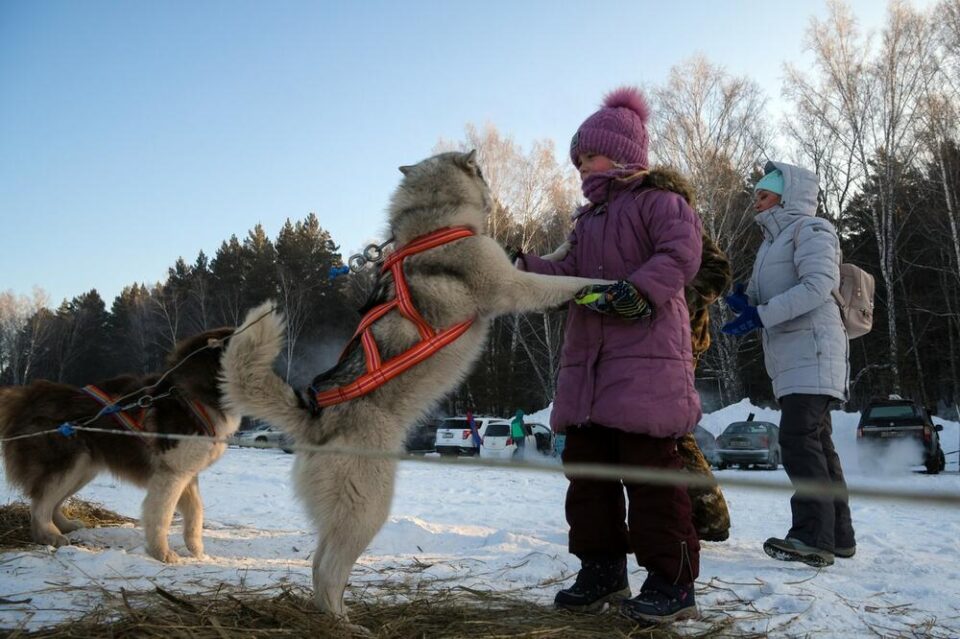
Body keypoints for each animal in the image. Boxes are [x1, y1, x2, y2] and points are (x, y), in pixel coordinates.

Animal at [220, 150, 616, 620]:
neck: (434, 222)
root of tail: (315, 415)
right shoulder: (511, 286)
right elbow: (561, 283)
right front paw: (603, 283)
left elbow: (540, 259)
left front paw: (566, 245)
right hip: (369, 507)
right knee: (328, 570)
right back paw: (343, 621)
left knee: (317, 566)